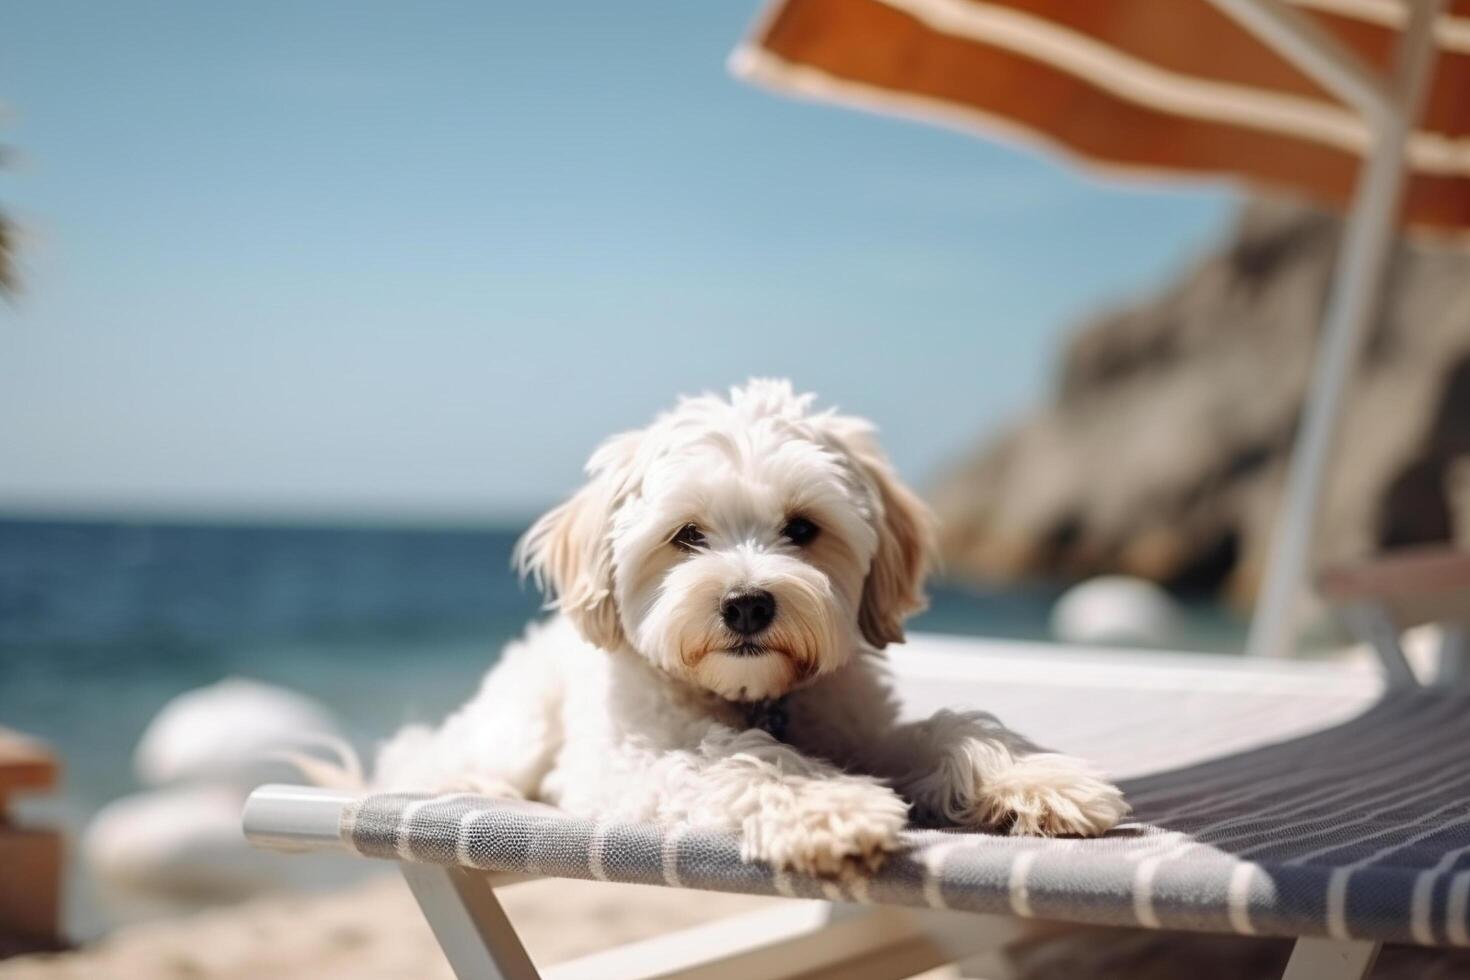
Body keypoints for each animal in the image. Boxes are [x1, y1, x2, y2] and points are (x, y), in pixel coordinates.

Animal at [376, 382, 1123, 875]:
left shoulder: (862, 729)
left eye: (802, 528)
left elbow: (948, 728)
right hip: (521, 725)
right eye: (687, 535)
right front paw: (826, 806)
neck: (755, 696)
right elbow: (741, 758)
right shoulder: (625, 766)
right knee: (443, 758)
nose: (746, 605)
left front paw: (1036, 780)